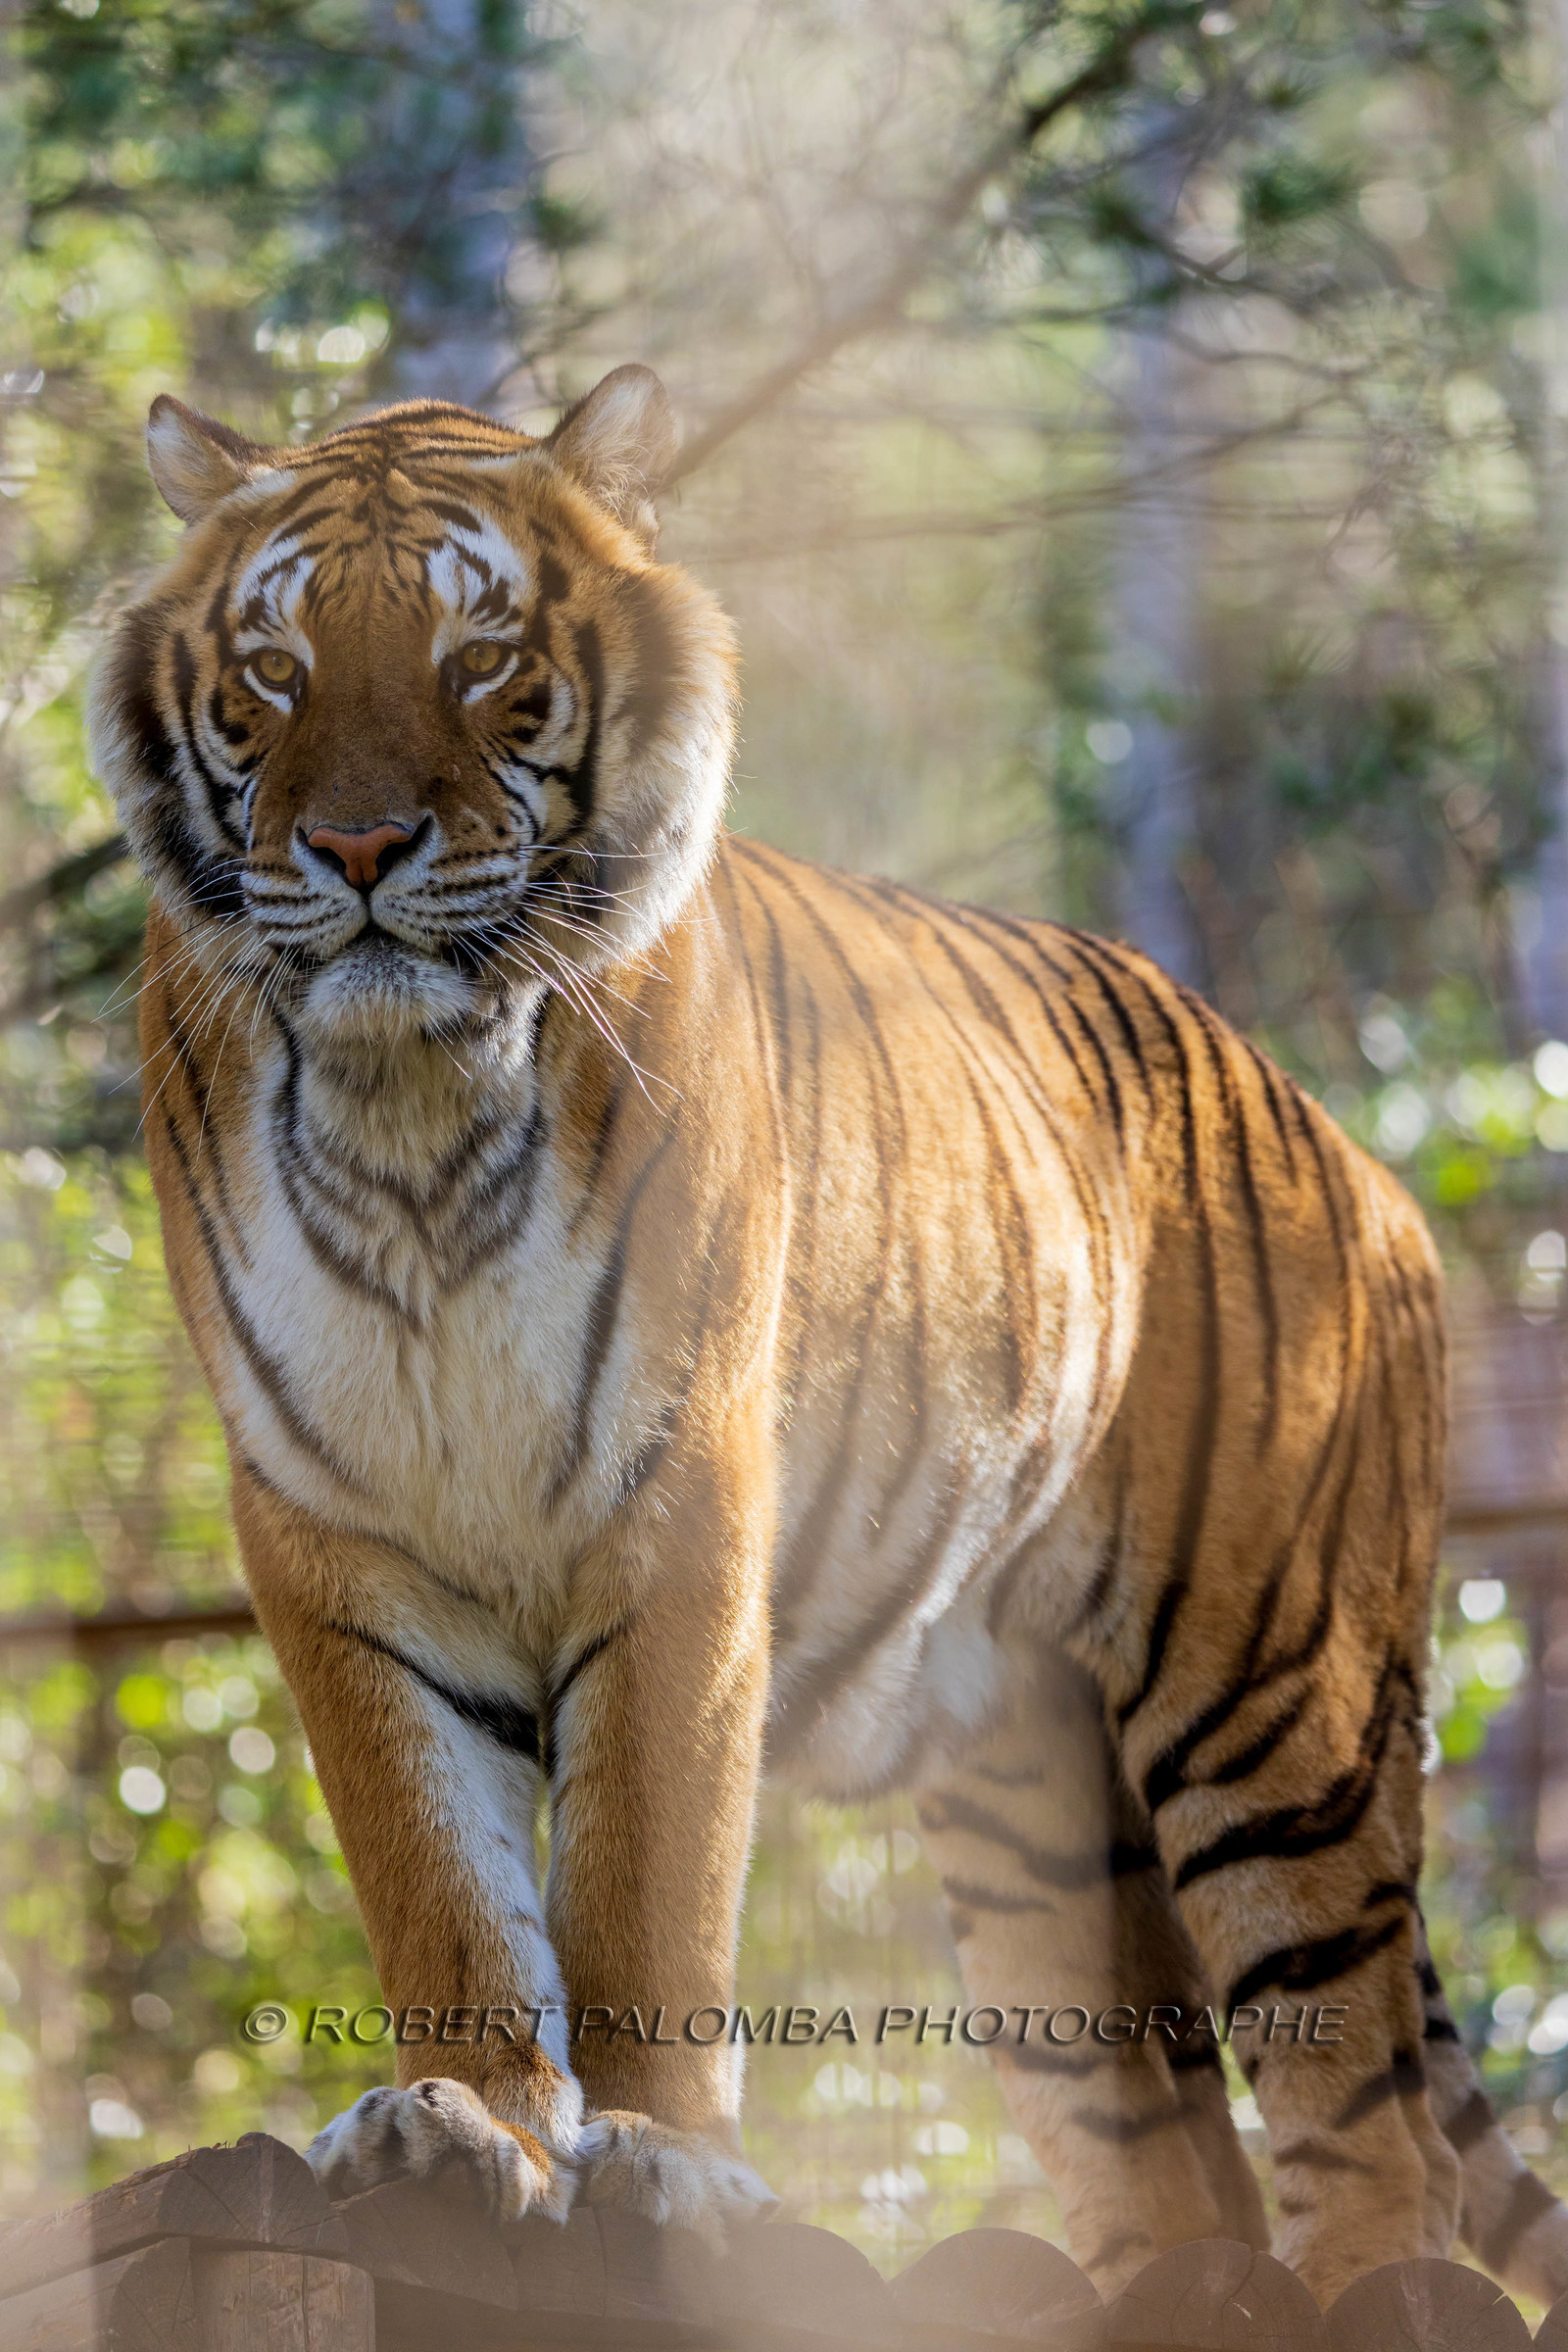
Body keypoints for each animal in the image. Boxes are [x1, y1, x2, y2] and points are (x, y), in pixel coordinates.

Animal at [87, 364, 1568, 2309]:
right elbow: (437, 1873)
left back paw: (1371, 2288)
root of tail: (1351, 1138)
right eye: (272, 669)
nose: (354, 847)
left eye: (482, 658)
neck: (414, 1110)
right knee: (1181, 2176)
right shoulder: (332, 1531)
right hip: (1037, 1829)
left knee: (1372, 2130)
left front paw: (659, 2166)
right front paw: (464, 2132)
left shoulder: (674, 1503)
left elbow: (640, 1875)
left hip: (1276, 1708)